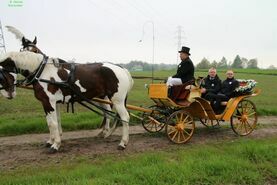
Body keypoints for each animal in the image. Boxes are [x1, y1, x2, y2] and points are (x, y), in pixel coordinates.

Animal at [0, 51, 134, 152]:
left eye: (1, 75)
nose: (10, 94)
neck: (42, 71)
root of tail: (122, 69)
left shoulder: (48, 102)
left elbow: (52, 124)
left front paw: (55, 145)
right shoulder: (51, 103)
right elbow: (53, 122)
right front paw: (52, 141)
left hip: (117, 100)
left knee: (124, 117)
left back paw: (123, 143)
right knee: (111, 115)